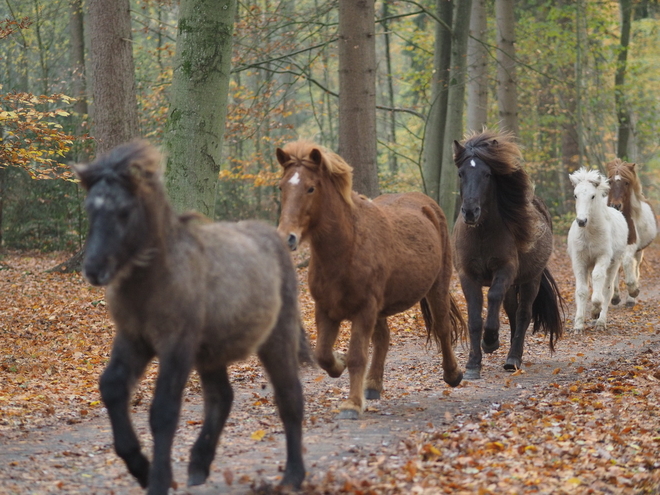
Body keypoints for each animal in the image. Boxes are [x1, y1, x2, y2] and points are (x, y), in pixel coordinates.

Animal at [73, 141, 310, 495]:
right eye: (90, 209)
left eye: (124, 211)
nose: (94, 269)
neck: (158, 277)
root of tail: (276, 239)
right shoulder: (133, 339)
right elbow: (112, 387)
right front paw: (141, 468)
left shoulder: (177, 344)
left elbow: (164, 411)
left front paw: (157, 480)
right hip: (211, 353)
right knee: (221, 397)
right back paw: (199, 465)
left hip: (276, 339)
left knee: (289, 396)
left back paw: (293, 476)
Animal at [276, 141, 466, 420]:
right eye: (282, 187)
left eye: (311, 188)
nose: (286, 237)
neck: (347, 248)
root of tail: (429, 206)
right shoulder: (326, 310)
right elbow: (323, 355)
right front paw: (340, 363)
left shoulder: (364, 310)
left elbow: (357, 356)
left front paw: (352, 405)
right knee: (383, 338)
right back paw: (373, 385)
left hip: (437, 287)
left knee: (442, 327)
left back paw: (453, 374)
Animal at [454, 131, 568, 380]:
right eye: (461, 173)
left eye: (487, 174)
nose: (470, 212)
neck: (482, 234)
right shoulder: (467, 275)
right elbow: (474, 319)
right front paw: (473, 365)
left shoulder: (504, 270)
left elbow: (493, 298)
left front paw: (490, 341)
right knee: (512, 311)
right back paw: (514, 354)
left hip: (530, 280)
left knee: (523, 314)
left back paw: (513, 358)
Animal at [568, 169, 628, 336]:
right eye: (575, 195)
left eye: (592, 196)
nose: (581, 221)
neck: (589, 234)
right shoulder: (580, 261)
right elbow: (581, 291)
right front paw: (578, 326)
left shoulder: (603, 257)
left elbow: (598, 280)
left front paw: (595, 309)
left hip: (614, 264)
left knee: (607, 290)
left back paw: (601, 322)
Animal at [604, 159, 656, 306]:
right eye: (610, 181)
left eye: (626, 183)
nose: (616, 206)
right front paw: (615, 296)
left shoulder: (632, 245)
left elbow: (628, 263)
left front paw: (634, 291)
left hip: (639, 251)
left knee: (635, 266)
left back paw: (631, 299)